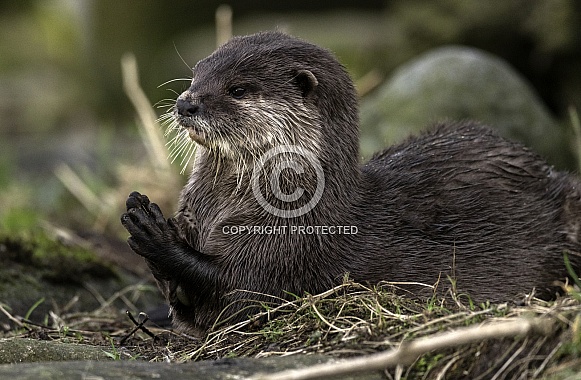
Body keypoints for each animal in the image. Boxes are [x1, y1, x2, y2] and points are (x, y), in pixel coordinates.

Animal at [119, 30, 580, 332]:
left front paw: (155, 236)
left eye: (238, 89)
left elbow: (238, 290)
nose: (186, 103)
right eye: (197, 74)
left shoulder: (291, 246)